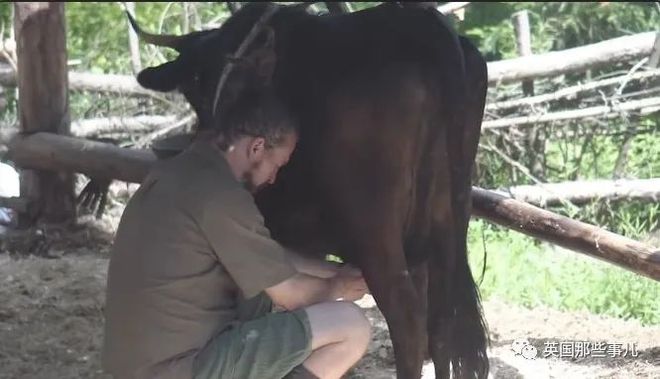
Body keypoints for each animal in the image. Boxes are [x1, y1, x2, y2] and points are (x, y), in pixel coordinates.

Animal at [129, 3, 490, 379]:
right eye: (193, 89)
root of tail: (420, 23)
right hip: (446, 224)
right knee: (441, 321)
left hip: (376, 232)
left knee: (408, 317)